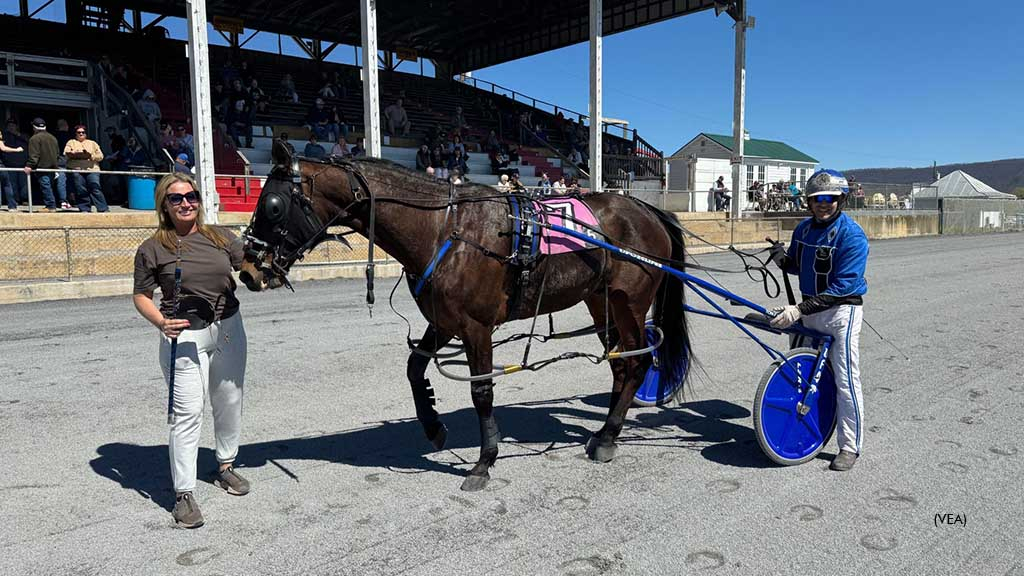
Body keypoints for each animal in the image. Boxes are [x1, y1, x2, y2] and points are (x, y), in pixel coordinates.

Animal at [235, 142, 692, 487]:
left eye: (272, 205)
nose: (249, 269)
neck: (446, 229)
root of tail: (649, 211)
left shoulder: (476, 327)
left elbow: (481, 391)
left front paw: (484, 460)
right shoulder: (444, 321)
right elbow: (414, 368)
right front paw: (433, 424)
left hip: (628, 303)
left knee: (638, 363)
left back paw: (609, 434)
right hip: (601, 304)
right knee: (621, 365)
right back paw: (604, 431)